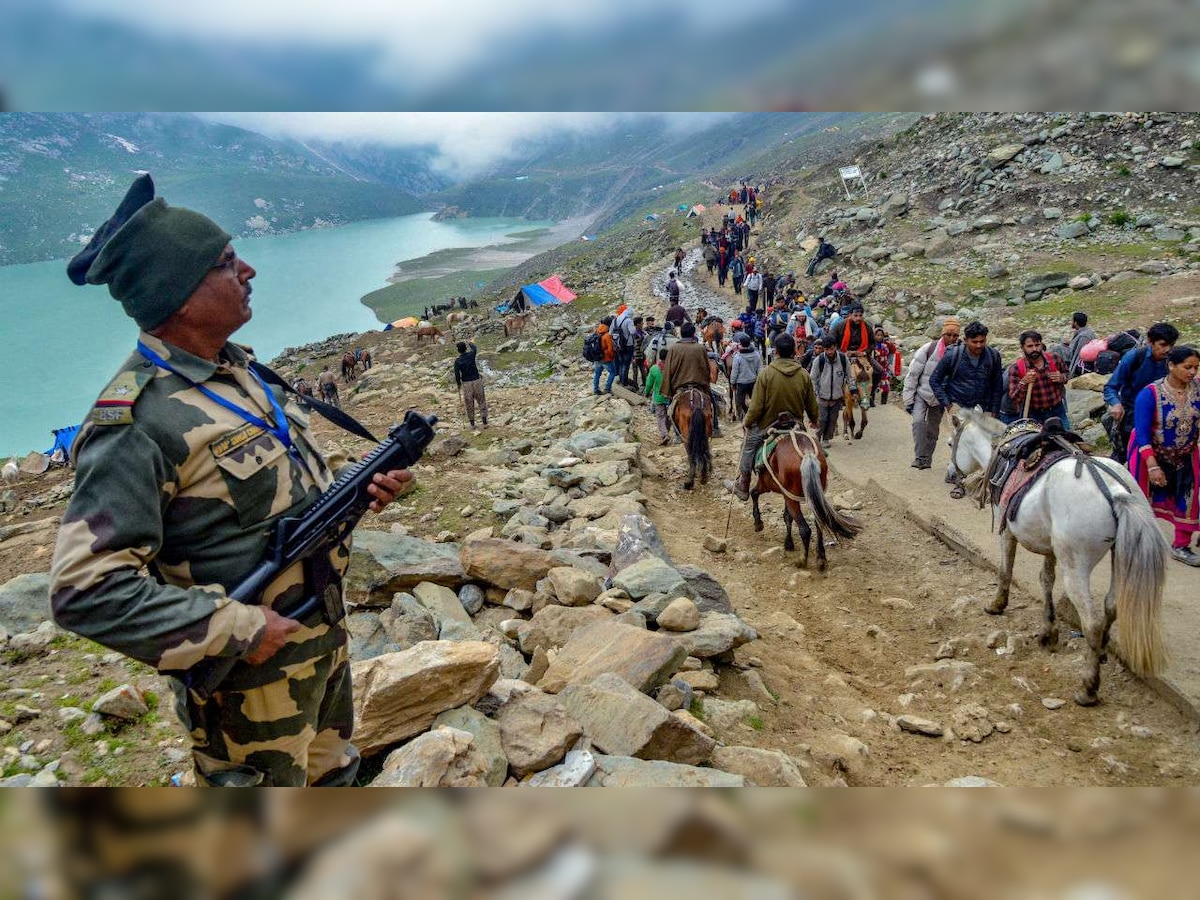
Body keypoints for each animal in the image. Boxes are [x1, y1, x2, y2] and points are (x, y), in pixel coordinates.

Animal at [748, 422, 864, 571]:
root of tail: (807, 453)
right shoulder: (786, 494)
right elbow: (787, 516)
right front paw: (789, 544)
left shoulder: (766, 485)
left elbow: (754, 493)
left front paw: (758, 524)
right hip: (809, 496)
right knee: (819, 523)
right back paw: (821, 559)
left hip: (788, 495)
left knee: (805, 529)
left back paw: (802, 560)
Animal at [950, 408, 1166, 710]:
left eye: (950, 443)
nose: (951, 475)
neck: (1001, 449)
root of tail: (1116, 493)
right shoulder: (1051, 547)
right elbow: (1046, 580)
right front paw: (1047, 632)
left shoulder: (1006, 527)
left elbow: (1006, 570)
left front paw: (996, 605)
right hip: (1117, 555)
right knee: (1111, 606)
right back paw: (1100, 652)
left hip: (1076, 564)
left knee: (1092, 622)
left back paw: (1088, 688)